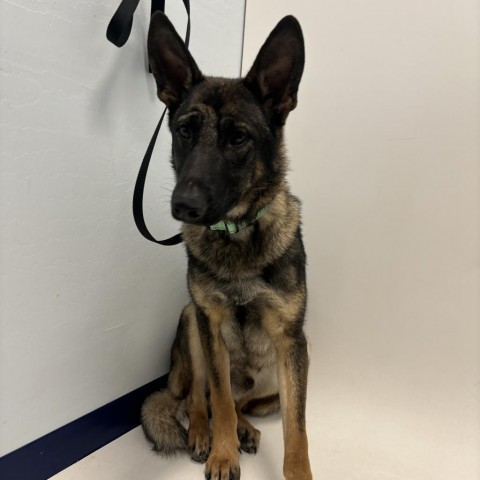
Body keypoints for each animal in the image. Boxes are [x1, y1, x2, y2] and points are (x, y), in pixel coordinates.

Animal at [141, 11, 312, 480]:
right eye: (184, 131)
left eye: (238, 138)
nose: (184, 206)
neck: (237, 236)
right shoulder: (210, 323)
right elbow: (216, 396)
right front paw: (221, 454)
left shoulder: (292, 342)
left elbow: (297, 428)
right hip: (190, 322)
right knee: (198, 398)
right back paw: (204, 434)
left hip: (279, 372)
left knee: (241, 405)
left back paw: (246, 430)